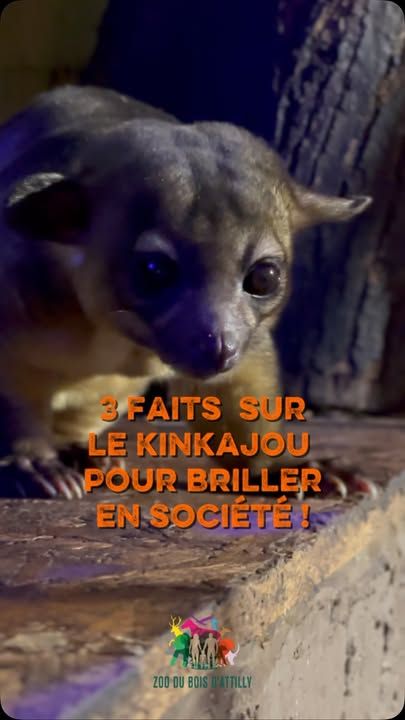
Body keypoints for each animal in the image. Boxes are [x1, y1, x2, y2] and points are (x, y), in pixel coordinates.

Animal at [0, 85, 372, 498]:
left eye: (264, 277)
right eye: (154, 270)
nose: (219, 347)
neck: (121, 336)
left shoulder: (246, 337)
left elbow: (239, 384)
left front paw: (281, 469)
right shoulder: (22, 284)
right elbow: (14, 393)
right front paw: (33, 462)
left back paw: (86, 455)